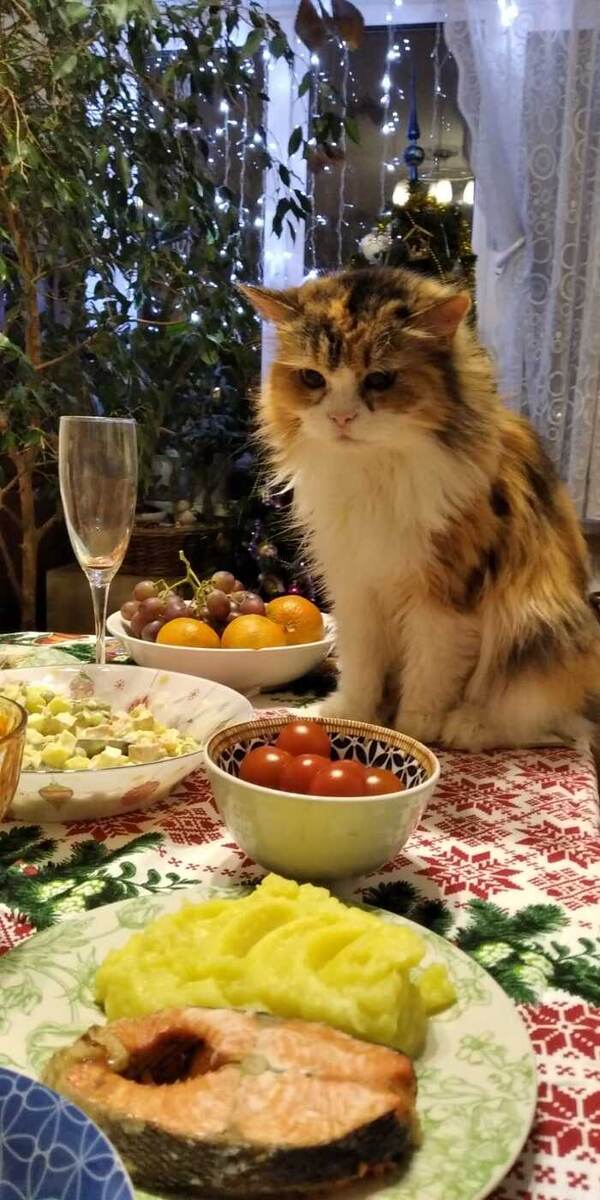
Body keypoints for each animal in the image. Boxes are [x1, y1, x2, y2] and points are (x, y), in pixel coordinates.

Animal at [241, 267, 600, 751]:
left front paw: (412, 732)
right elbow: (362, 668)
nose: (341, 419)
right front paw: (349, 715)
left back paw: (468, 725)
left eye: (379, 380)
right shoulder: (356, 586)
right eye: (313, 379)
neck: (372, 470)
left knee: (546, 720)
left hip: (536, 623)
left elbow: (429, 673)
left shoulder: (441, 596)